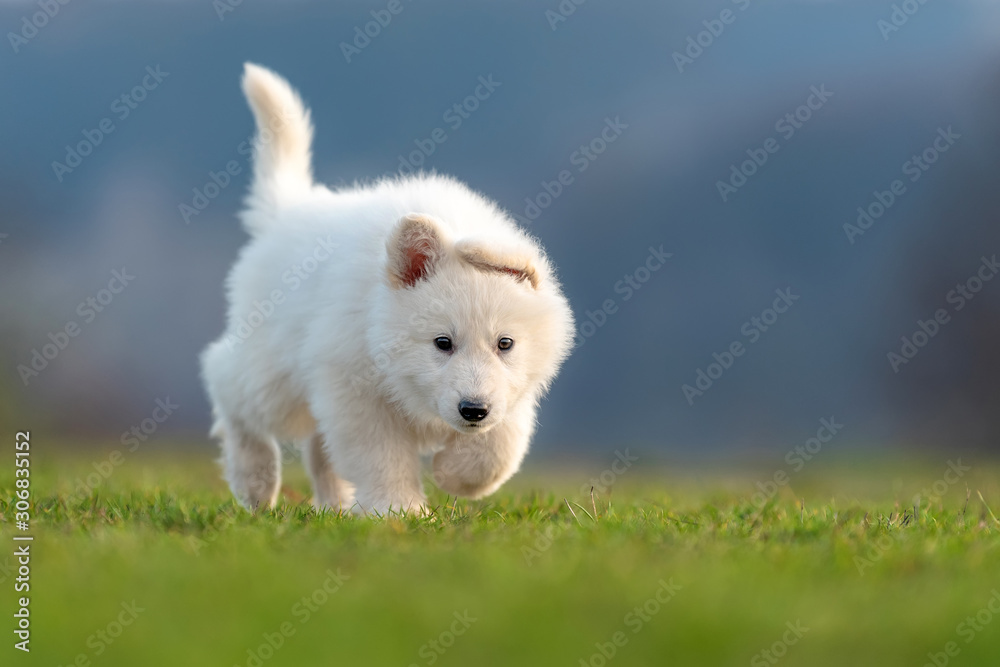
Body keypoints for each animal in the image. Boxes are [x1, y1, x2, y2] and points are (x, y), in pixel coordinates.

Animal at [199, 65, 576, 516]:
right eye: (442, 343)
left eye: (506, 343)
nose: (473, 411)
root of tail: (287, 211)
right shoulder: (355, 389)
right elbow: (381, 456)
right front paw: (399, 510)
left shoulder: (514, 387)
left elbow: (501, 445)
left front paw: (458, 472)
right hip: (272, 373)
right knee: (226, 383)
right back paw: (255, 483)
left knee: (320, 448)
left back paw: (335, 506)